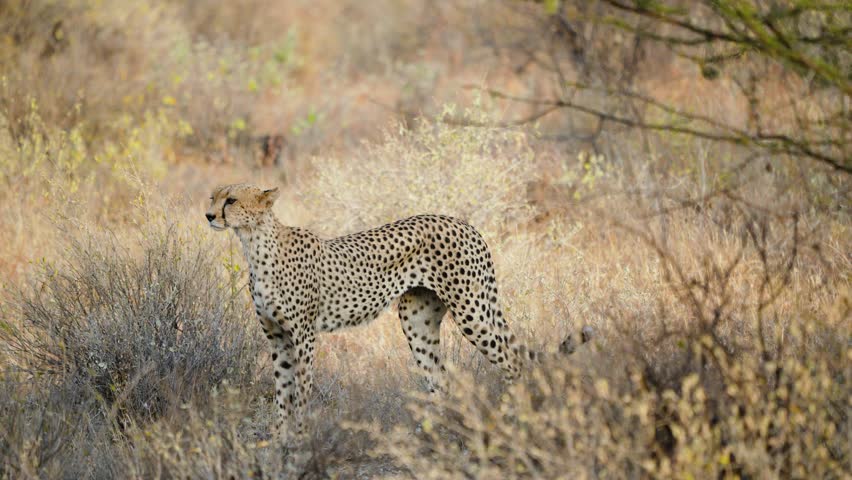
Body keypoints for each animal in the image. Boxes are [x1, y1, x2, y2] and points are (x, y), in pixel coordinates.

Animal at [205, 183, 589, 441]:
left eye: (231, 200)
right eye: (213, 197)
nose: (208, 215)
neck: (255, 243)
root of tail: (464, 223)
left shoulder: (303, 336)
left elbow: (299, 389)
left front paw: (298, 438)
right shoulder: (278, 337)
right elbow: (282, 390)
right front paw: (279, 439)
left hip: (472, 311)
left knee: (513, 361)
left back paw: (513, 418)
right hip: (417, 321)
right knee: (439, 380)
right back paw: (433, 438)